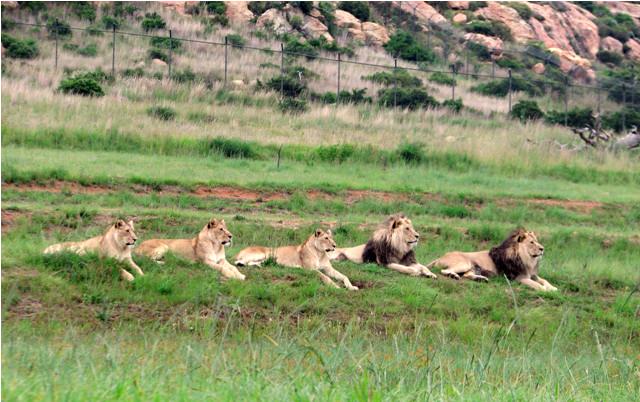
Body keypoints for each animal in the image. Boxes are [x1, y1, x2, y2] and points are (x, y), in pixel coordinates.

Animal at [425, 228, 557, 291]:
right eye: (531, 242)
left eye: (537, 241)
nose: (542, 249)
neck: (527, 259)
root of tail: (440, 257)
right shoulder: (519, 278)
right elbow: (536, 284)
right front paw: (545, 290)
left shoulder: (532, 274)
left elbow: (544, 280)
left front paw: (553, 288)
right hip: (464, 263)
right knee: (445, 271)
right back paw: (454, 276)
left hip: (473, 267)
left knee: (467, 275)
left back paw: (481, 279)